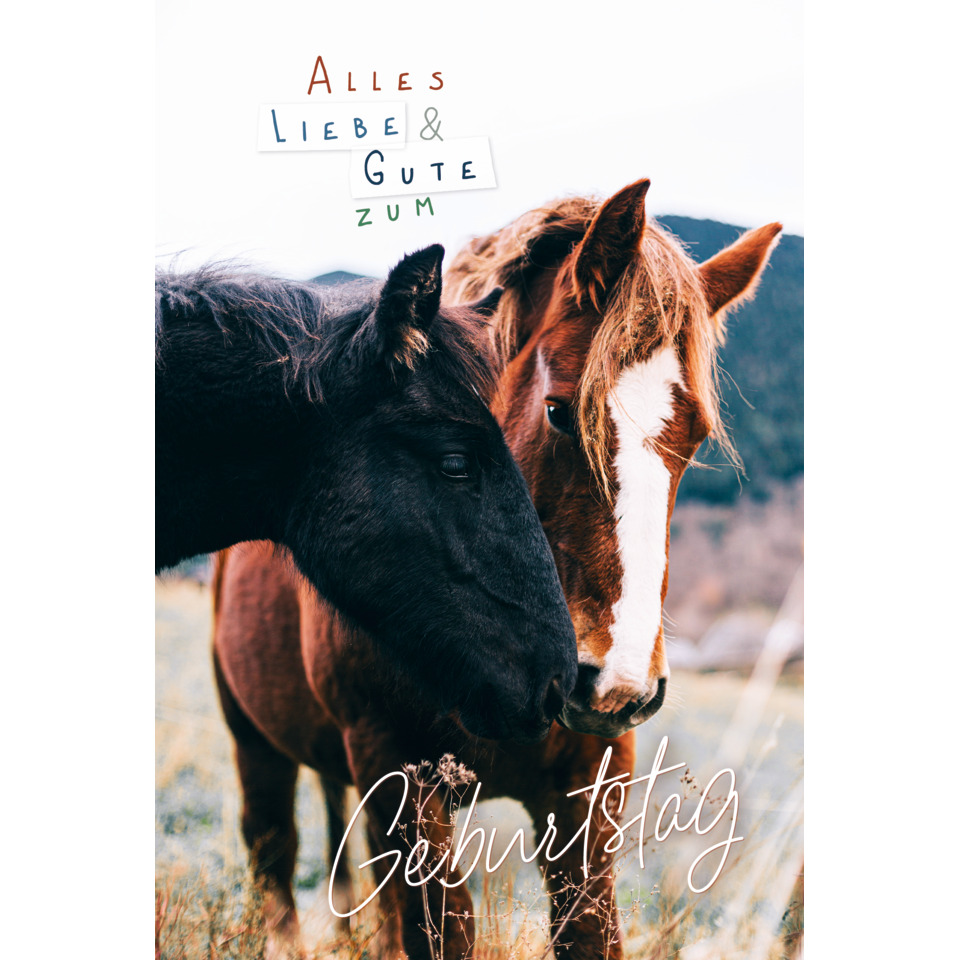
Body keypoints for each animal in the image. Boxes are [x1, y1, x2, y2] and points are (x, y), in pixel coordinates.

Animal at [212, 179, 783, 959]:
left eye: (692, 437)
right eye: (561, 412)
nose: (618, 684)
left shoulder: (585, 793)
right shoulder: (397, 779)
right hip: (257, 747)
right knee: (273, 860)